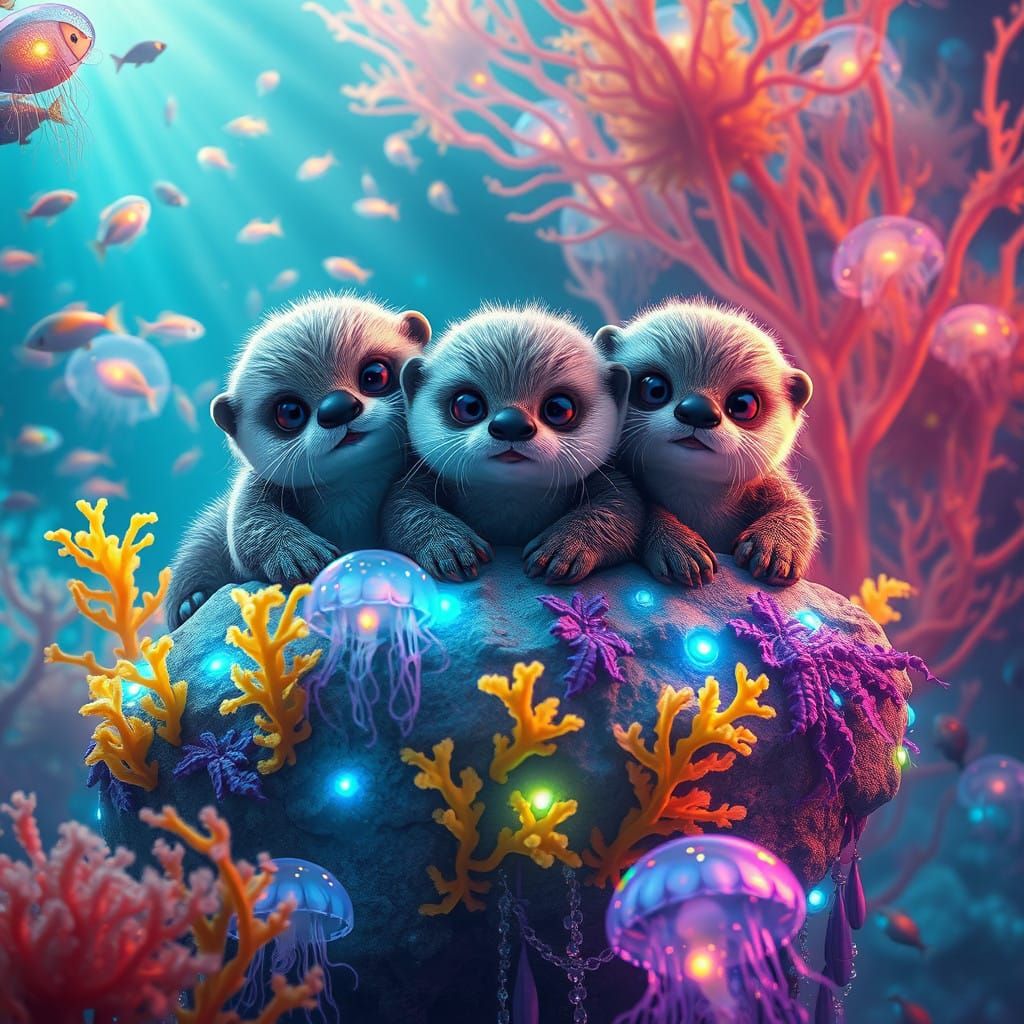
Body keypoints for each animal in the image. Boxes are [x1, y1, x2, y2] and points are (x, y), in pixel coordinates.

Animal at [166, 294, 431, 628]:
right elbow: (248, 525)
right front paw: (299, 553)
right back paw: (192, 602)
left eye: (375, 375)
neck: (353, 482)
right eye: (290, 412)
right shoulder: (254, 488)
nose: (338, 408)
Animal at [382, 304, 643, 584]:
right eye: (468, 405)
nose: (511, 425)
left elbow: (624, 507)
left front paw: (565, 545)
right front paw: (448, 544)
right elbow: (399, 504)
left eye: (559, 408)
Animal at [595, 299, 818, 586]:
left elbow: (797, 507)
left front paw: (776, 545)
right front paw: (677, 544)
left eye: (743, 404)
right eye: (654, 388)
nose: (698, 412)